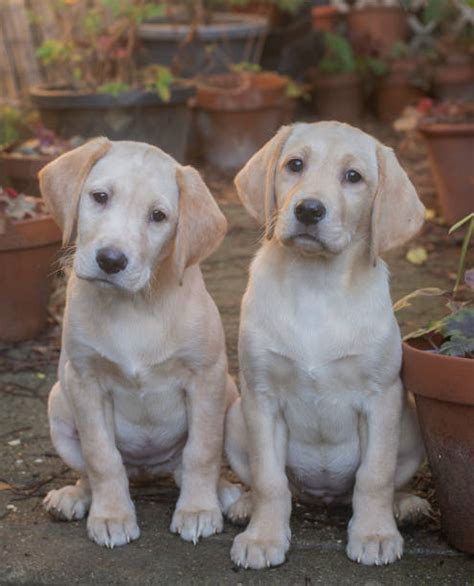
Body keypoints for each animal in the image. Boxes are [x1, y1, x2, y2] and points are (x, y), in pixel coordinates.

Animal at [39, 138, 241, 548]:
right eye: (100, 197)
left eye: (158, 216)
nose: (111, 260)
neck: (134, 305)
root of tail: (148, 470)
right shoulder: (85, 380)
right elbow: (102, 457)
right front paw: (112, 515)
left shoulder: (206, 377)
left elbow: (202, 452)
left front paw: (198, 510)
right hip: (59, 403)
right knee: (90, 471)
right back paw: (74, 496)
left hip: (228, 394)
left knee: (192, 465)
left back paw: (225, 494)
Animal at [225, 122, 430, 564]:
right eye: (294, 165)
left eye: (353, 177)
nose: (308, 210)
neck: (315, 285)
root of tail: (323, 498)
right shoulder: (261, 396)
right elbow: (269, 478)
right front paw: (263, 537)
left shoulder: (381, 397)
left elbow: (374, 476)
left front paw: (373, 534)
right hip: (235, 415)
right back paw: (245, 505)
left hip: (409, 423)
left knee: (386, 481)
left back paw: (404, 505)